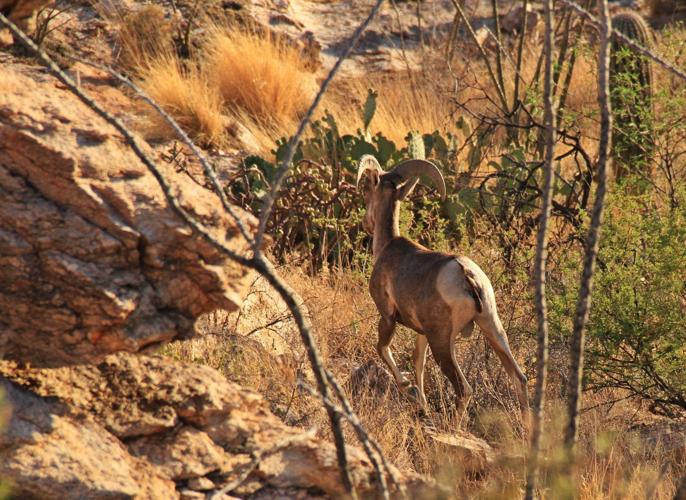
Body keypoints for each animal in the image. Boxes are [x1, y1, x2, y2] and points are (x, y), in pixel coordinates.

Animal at [356, 154, 530, 424]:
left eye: (367, 191)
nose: (366, 224)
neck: (387, 248)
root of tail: (466, 275)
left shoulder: (387, 317)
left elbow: (383, 349)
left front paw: (409, 389)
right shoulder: (422, 332)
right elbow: (418, 361)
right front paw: (422, 405)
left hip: (443, 342)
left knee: (464, 389)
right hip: (492, 328)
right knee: (519, 379)